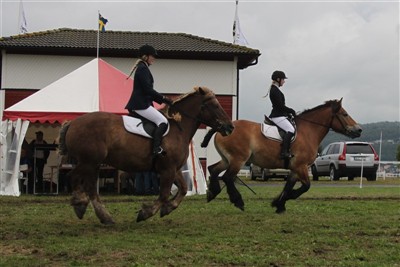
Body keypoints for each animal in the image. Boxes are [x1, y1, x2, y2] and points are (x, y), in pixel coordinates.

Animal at [59, 87, 234, 224]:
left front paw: (168, 208)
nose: (230, 127)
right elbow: (163, 194)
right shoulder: (167, 170)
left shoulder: (173, 169)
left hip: (93, 164)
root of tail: (73, 123)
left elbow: (183, 189)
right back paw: (82, 204)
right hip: (89, 162)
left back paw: (102, 215)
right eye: (214, 105)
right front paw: (146, 213)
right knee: (73, 177)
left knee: (88, 186)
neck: (178, 127)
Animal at [203, 99, 362, 215]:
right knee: (227, 177)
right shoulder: (300, 166)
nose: (359, 130)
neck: (308, 131)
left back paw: (212, 193)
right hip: (238, 159)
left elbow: (288, 186)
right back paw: (238, 201)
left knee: (213, 170)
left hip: (227, 159)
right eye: (345, 114)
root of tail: (225, 128)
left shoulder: (295, 169)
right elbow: (305, 187)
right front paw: (282, 201)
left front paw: (279, 204)